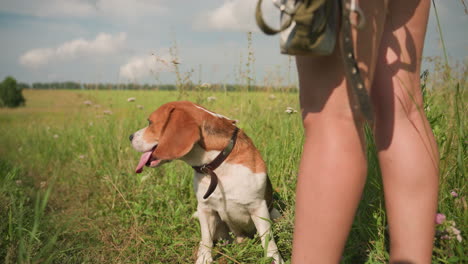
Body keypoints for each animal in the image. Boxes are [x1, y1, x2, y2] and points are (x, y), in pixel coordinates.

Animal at [129, 100, 282, 262]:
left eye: (150, 122)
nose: (130, 137)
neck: (217, 165)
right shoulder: (205, 208)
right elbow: (206, 239)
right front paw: (203, 258)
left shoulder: (258, 207)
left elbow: (268, 240)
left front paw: (274, 260)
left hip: (275, 214)